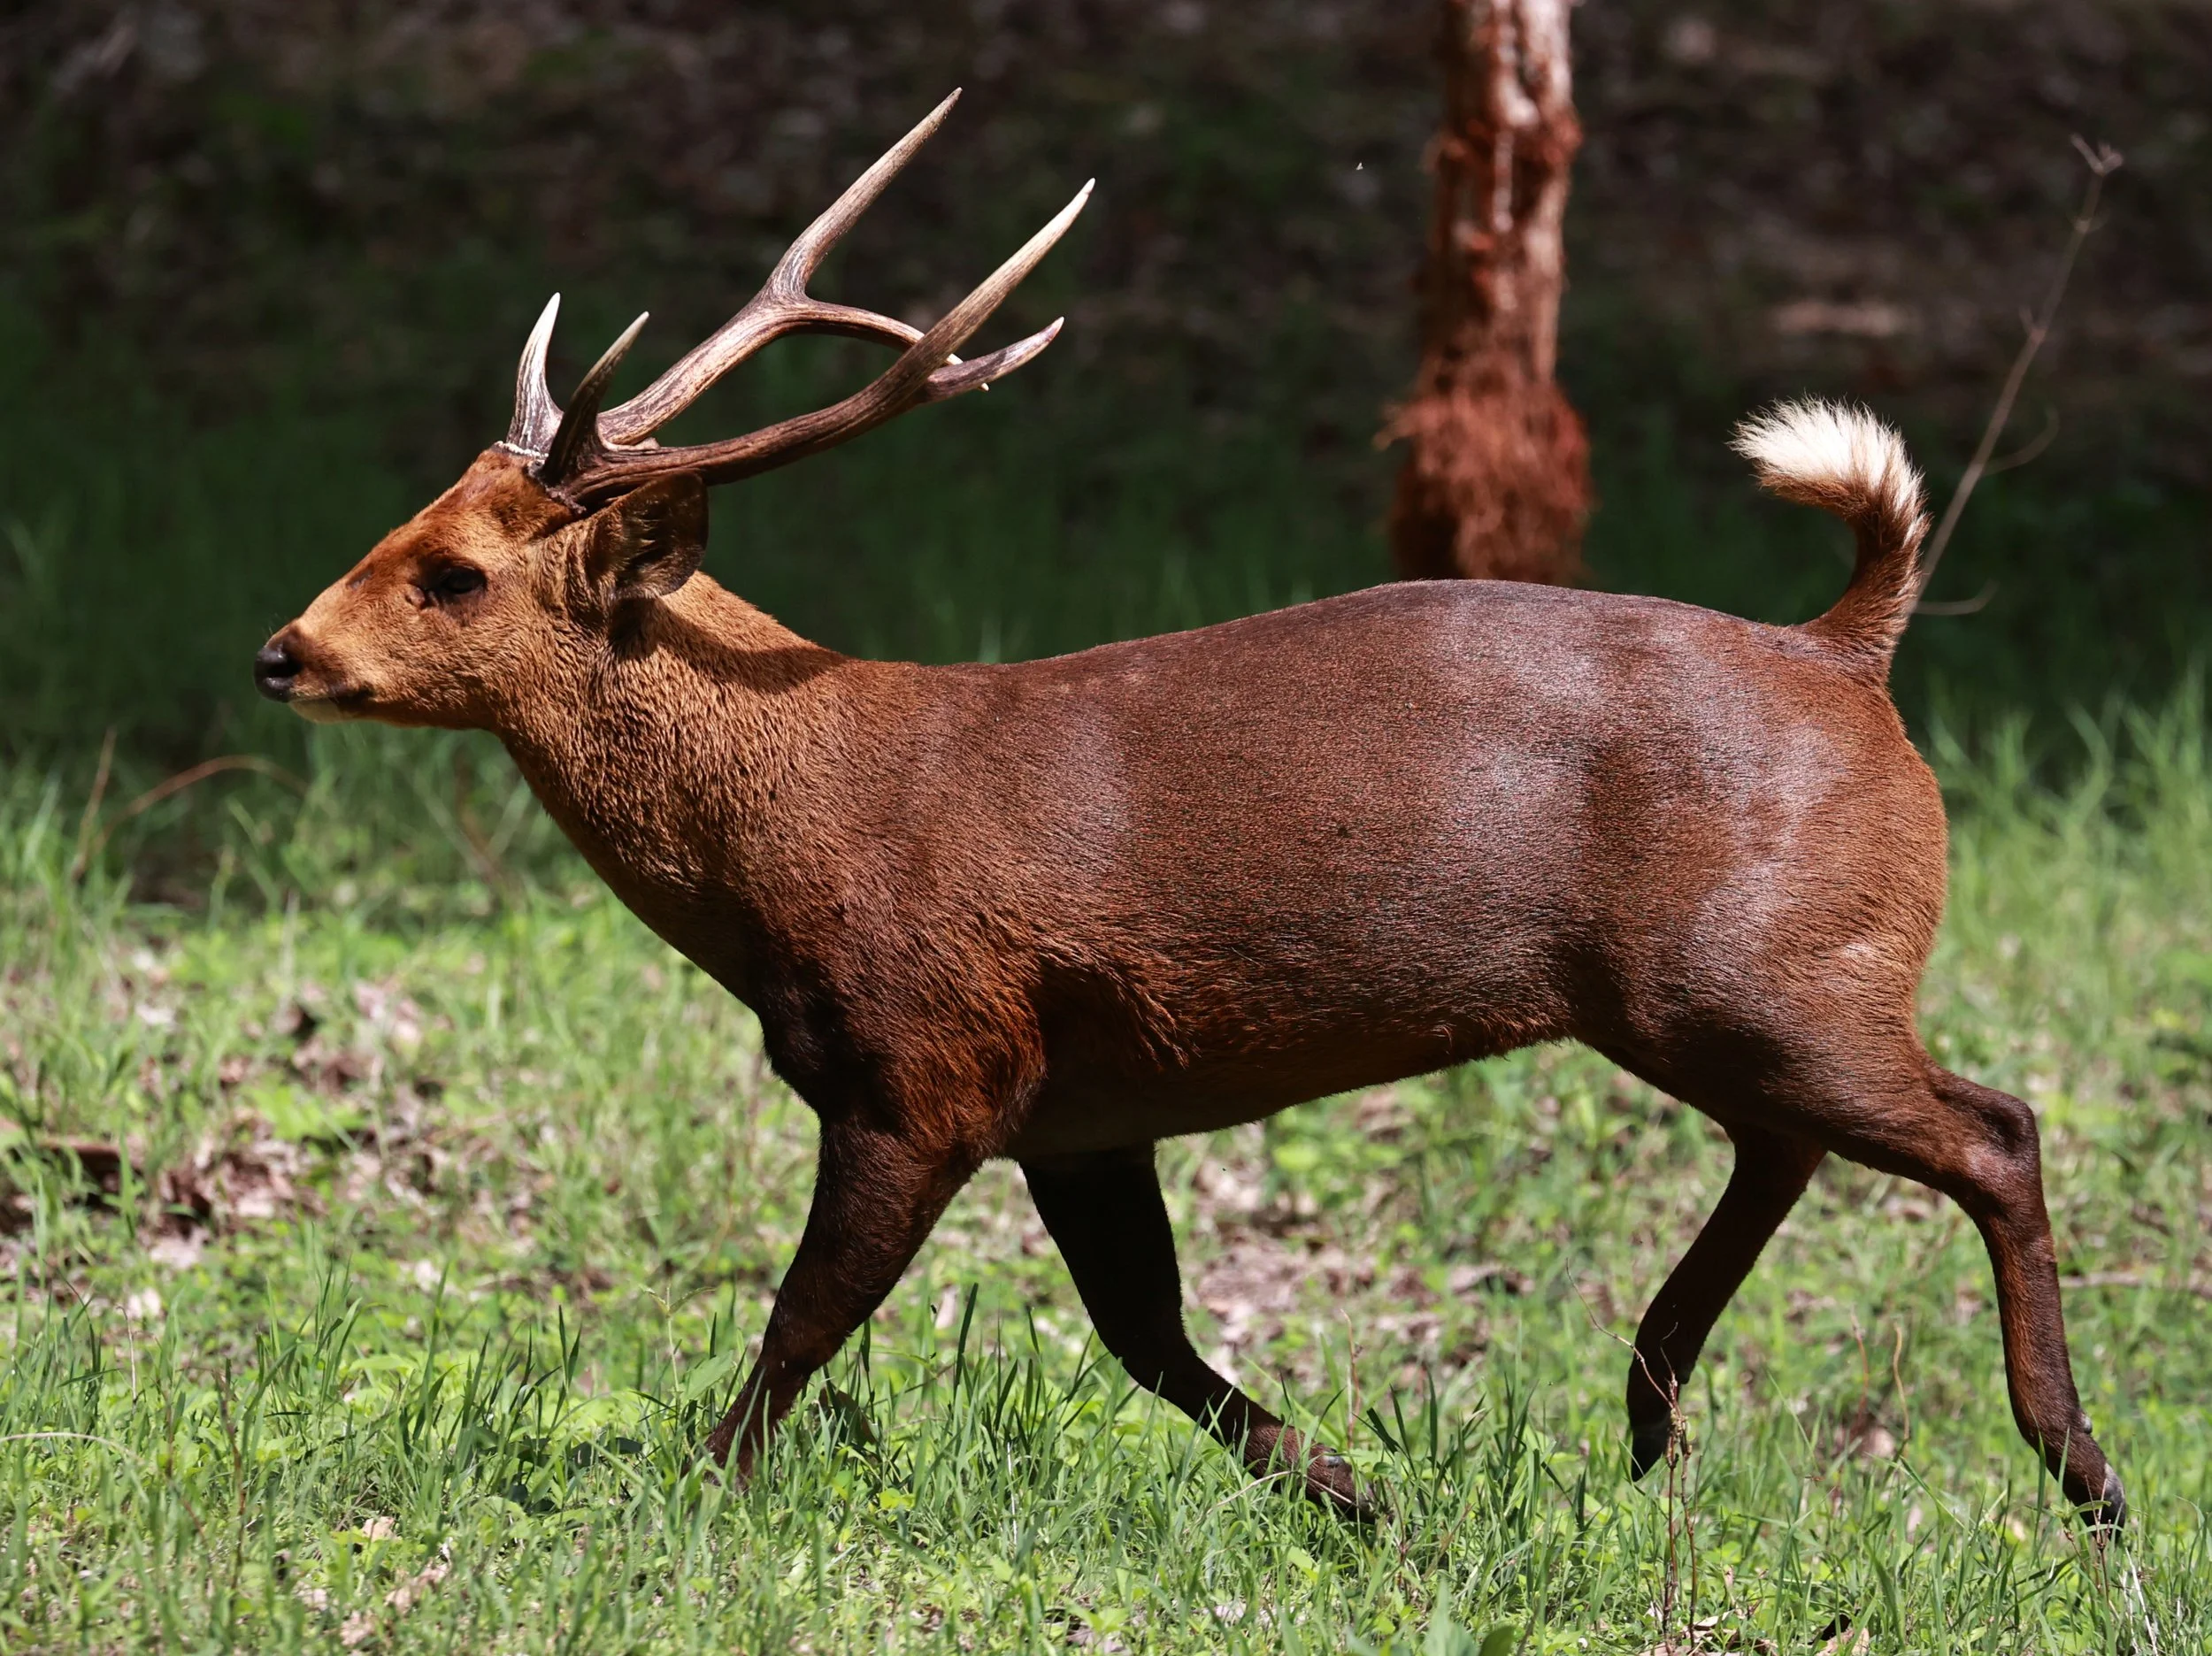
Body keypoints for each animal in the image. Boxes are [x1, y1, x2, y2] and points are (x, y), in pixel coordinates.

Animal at [253, 92, 2123, 1529]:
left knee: (1994, 1127)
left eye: (454, 572)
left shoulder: (931, 1061)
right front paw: (1373, 1503)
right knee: (1798, 1139)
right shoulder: (1080, 1108)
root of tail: (1849, 650)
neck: (800, 837)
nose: (283, 650)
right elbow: (1147, 1336)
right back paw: (1649, 1422)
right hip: (1726, 989)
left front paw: (685, 1504)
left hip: (1759, 968)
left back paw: (2079, 1473)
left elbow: (805, 1321)